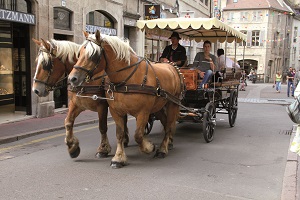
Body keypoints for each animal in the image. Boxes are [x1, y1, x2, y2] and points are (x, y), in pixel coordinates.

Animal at [69, 30, 184, 168]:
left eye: (93, 55)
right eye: (79, 53)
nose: (72, 78)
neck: (127, 78)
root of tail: (172, 67)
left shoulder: (143, 112)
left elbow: (138, 135)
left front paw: (149, 147)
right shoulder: (115, 111)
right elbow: (120, 133)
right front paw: (118, 158)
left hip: (173, 103)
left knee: (169, 125)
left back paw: (162, 149)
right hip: (159, 106)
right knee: (166, 122)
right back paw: (168, 143)